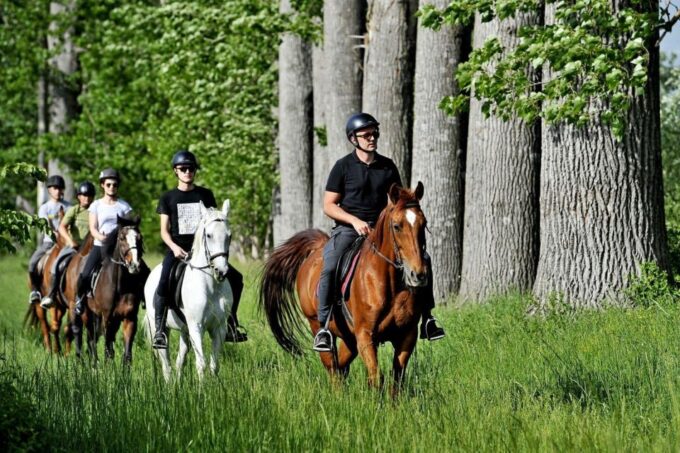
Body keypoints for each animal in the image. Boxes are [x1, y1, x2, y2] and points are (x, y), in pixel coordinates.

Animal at [80, 215, 147, 365]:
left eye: (140, 237)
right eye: (121, 238)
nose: (135, 265)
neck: (120, 286)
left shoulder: (130, 318)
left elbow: (127, 354)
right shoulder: (108, 318)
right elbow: (108, 349)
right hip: (87, 315)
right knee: (91, 339)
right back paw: (94, 364)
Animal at [259, 183, 429, 392]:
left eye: (423, 224)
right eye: (397, 226)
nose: (418, 274)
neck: (389, 284)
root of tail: (317, 248)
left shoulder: (407, 335)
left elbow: (396, 380)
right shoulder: (365, 335)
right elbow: (376, 377)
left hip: (349, 339)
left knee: (340, 365)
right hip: (317, 324)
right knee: (332, 368)